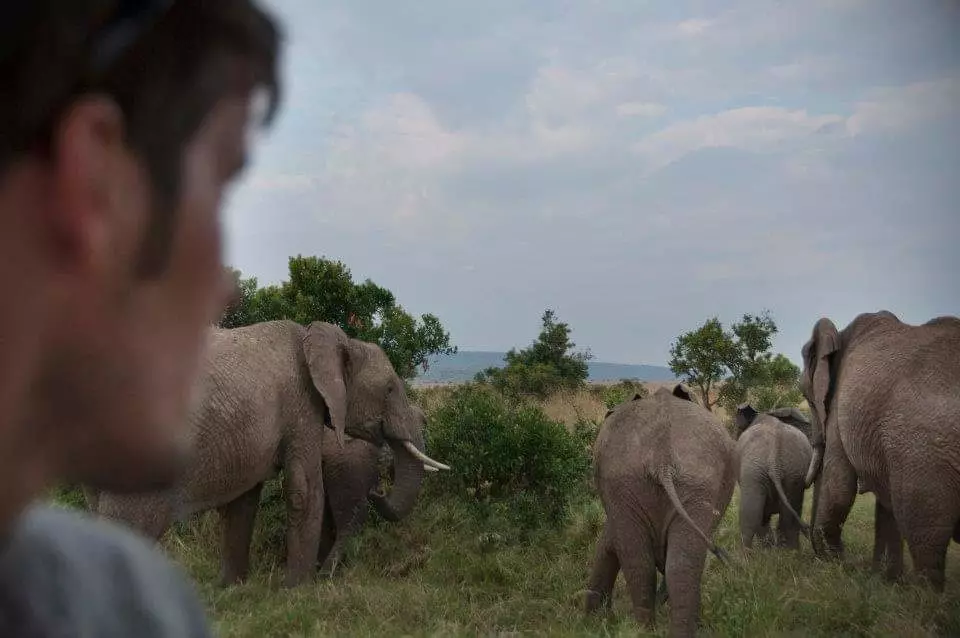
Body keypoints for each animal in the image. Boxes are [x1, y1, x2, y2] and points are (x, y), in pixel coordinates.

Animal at [84, 320, 452, 592]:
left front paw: (231, 588)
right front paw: (298, 591)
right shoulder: (302, 404)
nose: (377, 491)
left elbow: (244, 502)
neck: (325, 338)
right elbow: (304, 490)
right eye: (389, 389)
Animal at [584, 384, 736, 638]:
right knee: (667, 564)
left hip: (666, 482)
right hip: (661, 481)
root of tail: (662, 457)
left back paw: (645, 630)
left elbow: (608, 545)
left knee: (648, 563)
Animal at [736, 404, 808, 552]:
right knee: (788, 517)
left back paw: (744, 556)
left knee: (753, 515)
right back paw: (791, 553)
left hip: (754, 470)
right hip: (793, 469)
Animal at [804, 312, 960, 592]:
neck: (840, 334)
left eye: (807, 396)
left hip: (924, 452)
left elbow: (839, 489)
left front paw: (838, 564)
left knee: (926, 534)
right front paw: (885, 582)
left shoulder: (840, 408)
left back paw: (927, 599)